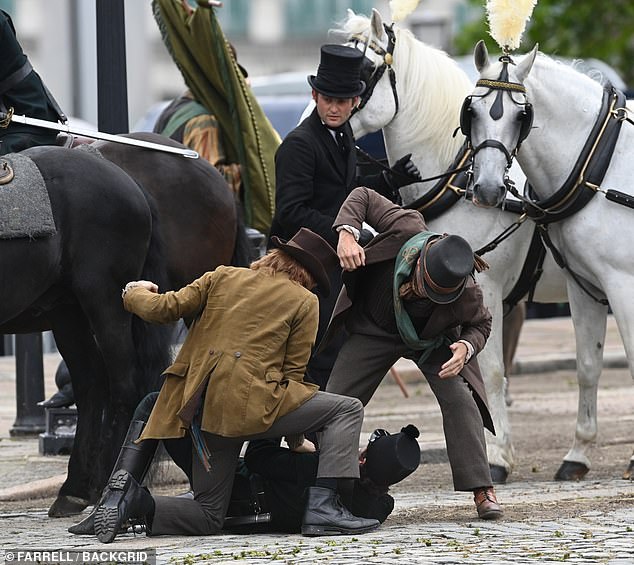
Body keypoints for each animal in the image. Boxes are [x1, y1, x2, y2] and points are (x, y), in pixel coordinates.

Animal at [334, 9, 572, 480]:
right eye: (469, 112)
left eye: (365, 71)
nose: (318, 118)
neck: (458, 180)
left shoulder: (490, 289)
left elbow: (490, 369)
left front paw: (496, 456)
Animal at [464, 40, 632, 480]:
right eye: (472, 111)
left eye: (522, 115)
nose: (487, 189)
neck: (602, 167)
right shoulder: (585, 286)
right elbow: (588, 365)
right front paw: (578, 454)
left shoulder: (622, 285)